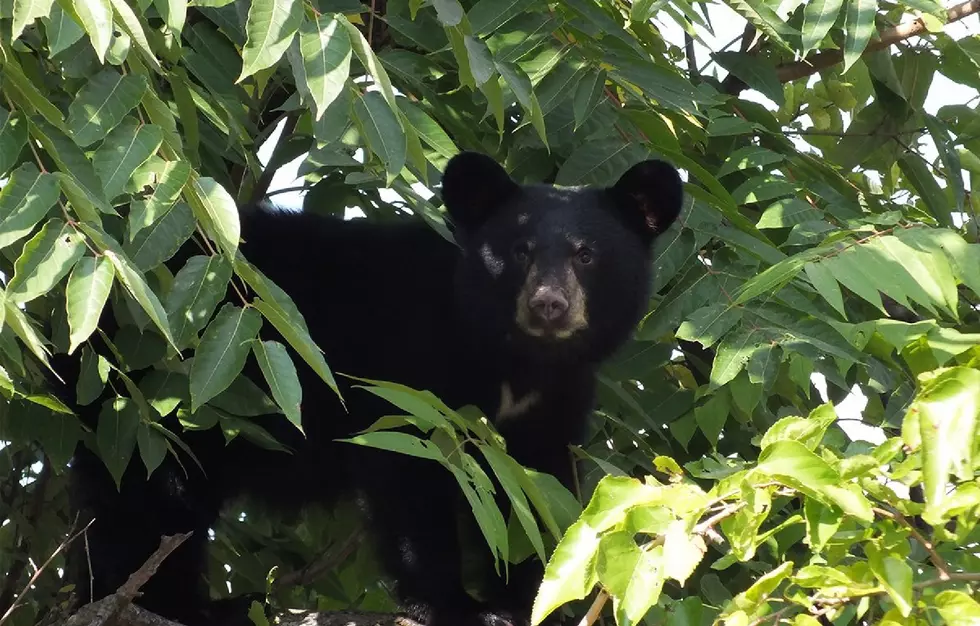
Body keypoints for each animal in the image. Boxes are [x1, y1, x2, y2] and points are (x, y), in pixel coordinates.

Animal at [63, 151, 680, 624]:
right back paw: (169, 603)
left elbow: (534, 491)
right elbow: (413, 474)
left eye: (587, 255)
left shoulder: (555, 402)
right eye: (519, 251)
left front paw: (525, 600)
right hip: (156, 395)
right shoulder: (412, 367)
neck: (516, 358)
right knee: (152, 495)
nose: (549, 304)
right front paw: (455, 604)